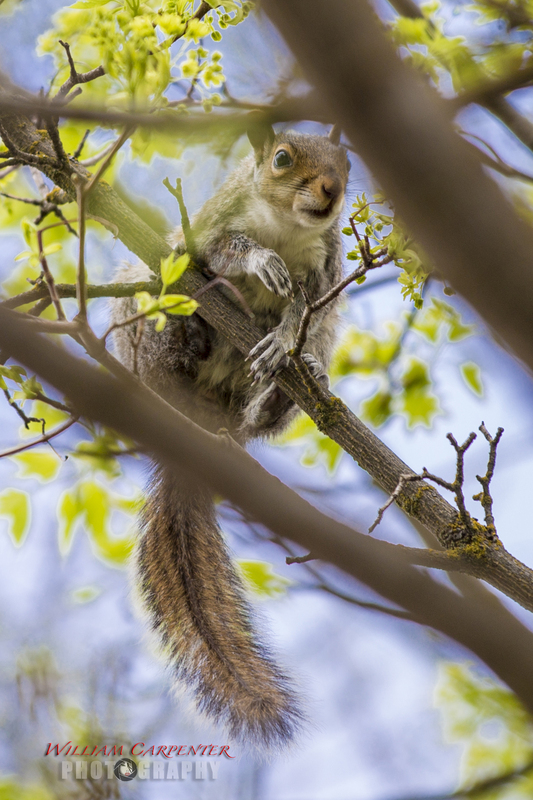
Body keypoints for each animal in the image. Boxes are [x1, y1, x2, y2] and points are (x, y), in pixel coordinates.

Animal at [111, 120, 350, 749]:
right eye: (282, 158)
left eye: (347, 165)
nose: (331, 191)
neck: (287, 223)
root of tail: (200, 426)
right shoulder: (213, 224)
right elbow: (218, 251)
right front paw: (259, 260)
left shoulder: (326, 273)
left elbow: (304, 312)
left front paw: (285, 337)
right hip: (144, 316)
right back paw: (187, 333)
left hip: (294, 370)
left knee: (267, 403)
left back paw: (289, 388)